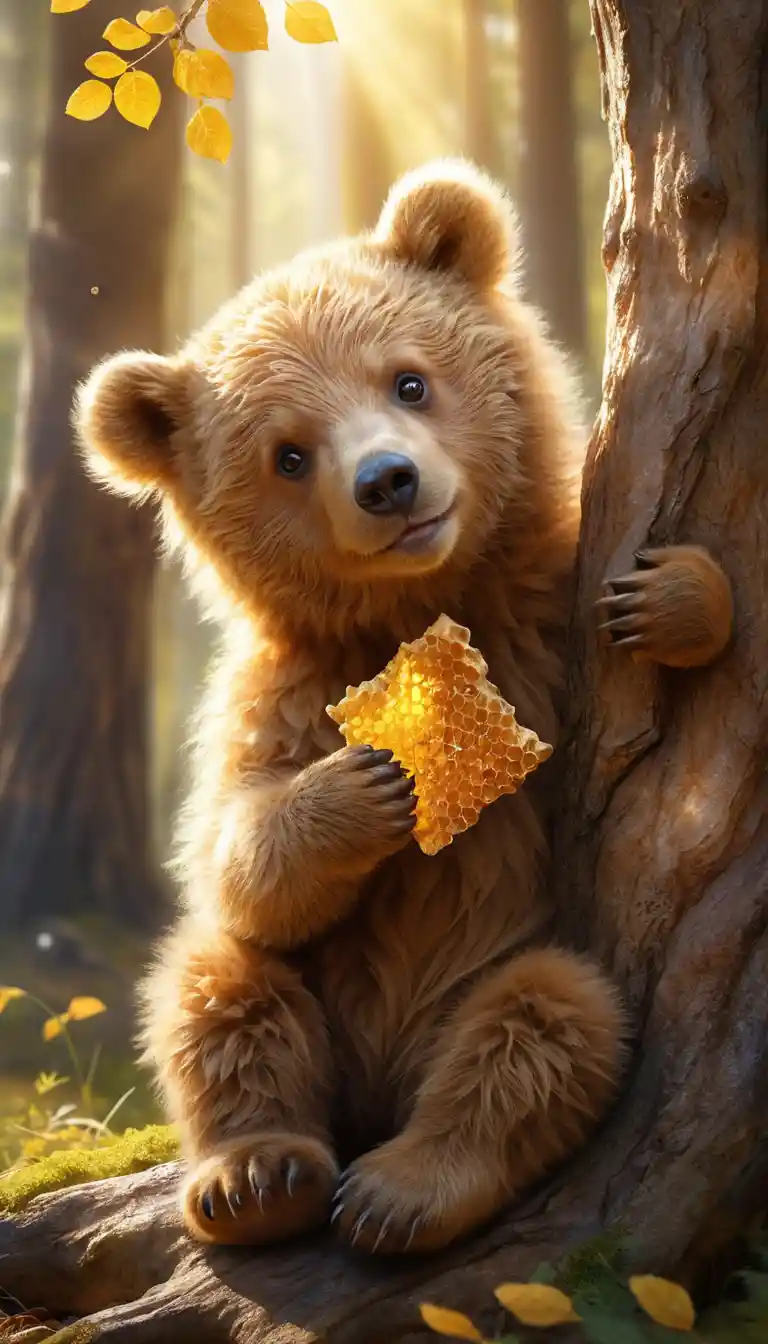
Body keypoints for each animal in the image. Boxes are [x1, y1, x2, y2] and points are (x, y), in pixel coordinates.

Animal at [76, 160, 733, 1255]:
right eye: (288, 453)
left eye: (409, 379)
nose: (388, 480)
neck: (423, 605)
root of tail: (382, 1092)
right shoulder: (284, 692)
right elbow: (236, 851)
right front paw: (368, 785)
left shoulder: (540, 629)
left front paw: (673, 597)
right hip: (306, 1002)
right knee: (216, 989)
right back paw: (259, 1176)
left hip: (507, 966)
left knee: (548, 1022)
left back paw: (405, 1186)